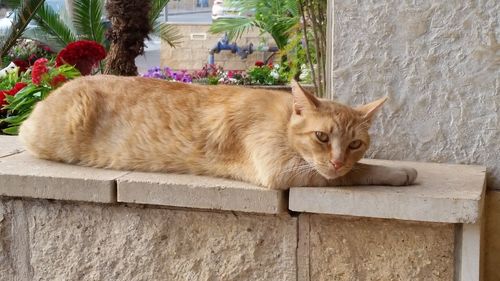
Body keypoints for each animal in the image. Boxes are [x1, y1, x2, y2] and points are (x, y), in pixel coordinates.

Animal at [19, 75, 416, 188]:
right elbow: (360, 173)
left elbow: (358, 169)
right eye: (321, 137)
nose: (336, 161)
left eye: (355, 143)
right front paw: (400, 172)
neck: (283, 119)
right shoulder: (282, 171)